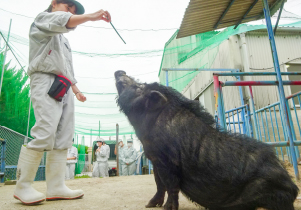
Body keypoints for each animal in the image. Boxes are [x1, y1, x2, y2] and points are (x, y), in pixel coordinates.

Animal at [114, 71, 298, 210]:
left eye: (139, 87)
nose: (120, 71)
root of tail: (293, 187)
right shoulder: (154, 158)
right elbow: (159, 184)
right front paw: (150, 205)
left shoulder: (168, 160)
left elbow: (171, 185)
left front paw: (167, 208)